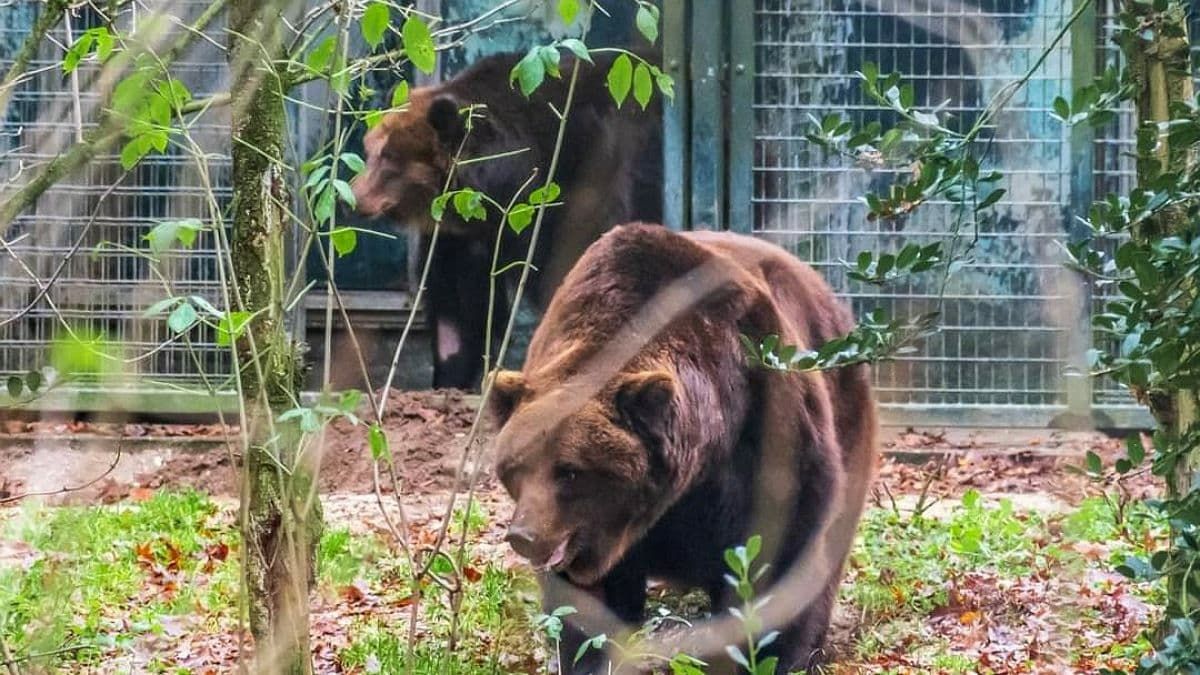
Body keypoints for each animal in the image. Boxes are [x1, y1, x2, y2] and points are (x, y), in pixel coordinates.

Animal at [350, 49, 662, 389]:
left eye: (390, 156)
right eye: (370, 149)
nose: (351, 197)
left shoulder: (575, 192)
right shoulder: (459, 239)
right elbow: (456, 311)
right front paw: (450, 374)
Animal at [482, 223, 878, 667]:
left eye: (569, 471)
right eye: (516, 468)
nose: (524, 535)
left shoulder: (764, 422)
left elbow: (779, 554)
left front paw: (770, 654)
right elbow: (586, 608)